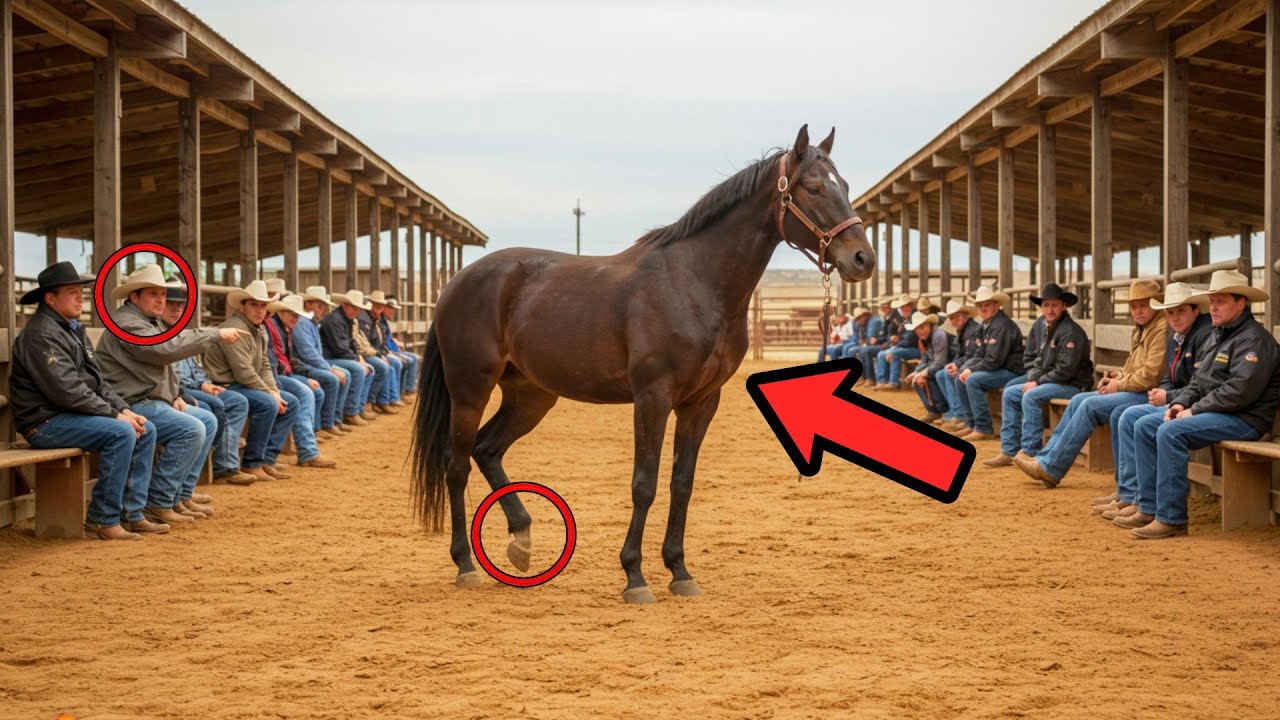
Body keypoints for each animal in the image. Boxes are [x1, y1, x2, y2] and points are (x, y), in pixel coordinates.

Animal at [410, 125, 876, 603]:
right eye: (814, 188)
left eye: (846, 186)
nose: (863, 259)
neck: (693, 284)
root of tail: (455, 284)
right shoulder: (652, 397)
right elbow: (644, 483)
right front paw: (635, 576)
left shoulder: (701, 402)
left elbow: (681, 483)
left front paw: (680, 571)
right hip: (470, 388)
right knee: (456, 464)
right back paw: (466, 564)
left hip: (531, 396)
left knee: (487, 449)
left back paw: (521, 541)